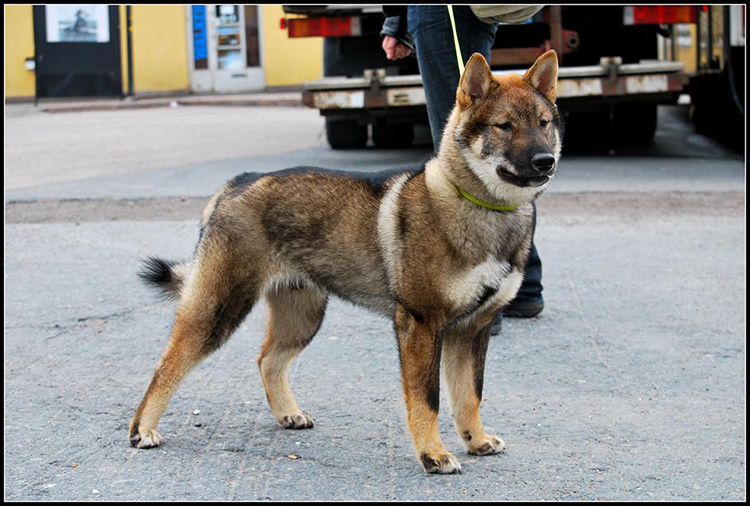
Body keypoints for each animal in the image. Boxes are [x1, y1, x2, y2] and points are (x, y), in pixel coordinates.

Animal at [131, 50, 564, 474]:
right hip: (218, 311)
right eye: (505, 126)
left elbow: (469, 395)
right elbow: (428, 400)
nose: (545, 161)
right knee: (166, 366)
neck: (482, 210)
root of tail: (237, 182)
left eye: (543, 124)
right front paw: (433, 454)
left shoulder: (472, 329)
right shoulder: (421, 325)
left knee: (268, 360)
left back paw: (288, 413)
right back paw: (142, 430)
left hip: (303, 317)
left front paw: (476, 440)